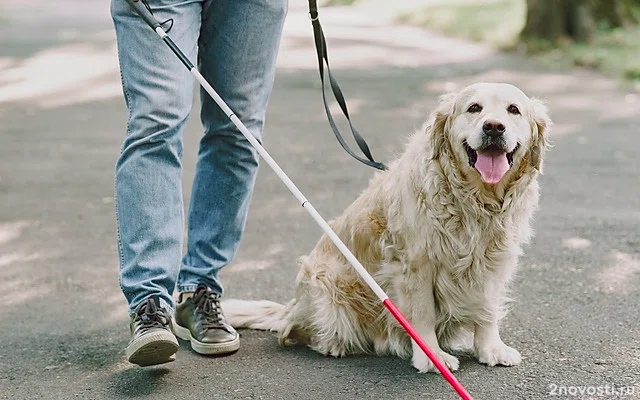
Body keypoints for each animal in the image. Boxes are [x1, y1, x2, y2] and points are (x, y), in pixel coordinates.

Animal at [221, 83, 552, 374]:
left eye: (513, 110)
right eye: (474, 108)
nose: (494, 127)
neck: (476, 200)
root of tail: (292, 305)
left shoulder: (494, 260)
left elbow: (488, 309)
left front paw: (491, 349)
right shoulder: (415, 265)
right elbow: (423, 314)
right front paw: (432, 358)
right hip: (325, 280)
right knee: (294, 331)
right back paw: (332, 344)